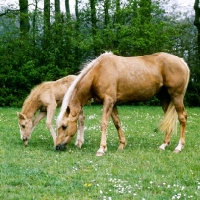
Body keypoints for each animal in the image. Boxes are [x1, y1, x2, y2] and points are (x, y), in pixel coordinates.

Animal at [55, 51, 189, 156]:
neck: (98, 72)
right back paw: (163, 145)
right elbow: (117, 123)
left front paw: (101, 149)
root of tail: (182, 61)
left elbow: (104, 123)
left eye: (64, 126)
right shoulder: (112, 103)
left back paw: (179, 147)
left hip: (177, 96)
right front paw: (121, 145)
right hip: (165, 98)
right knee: (169, 119)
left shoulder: (108, 101)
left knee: (182, 117)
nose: (57, 147)